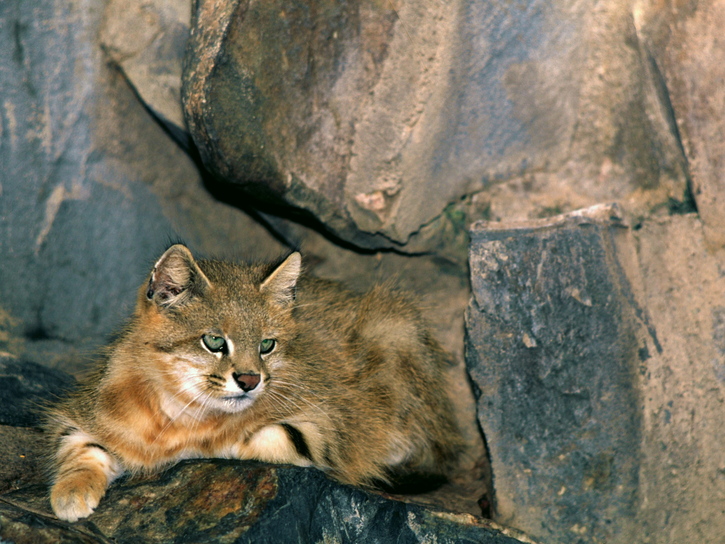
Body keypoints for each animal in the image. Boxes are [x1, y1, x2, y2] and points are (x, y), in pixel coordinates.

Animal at [45, 244, 460, 520]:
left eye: (266, 345)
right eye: (214, 341)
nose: (250, 380)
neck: (175, 408)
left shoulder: (322, 429)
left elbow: (240, 440)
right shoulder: (85, 412)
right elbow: (80, 449)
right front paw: (70, 493)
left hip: (394, 336)